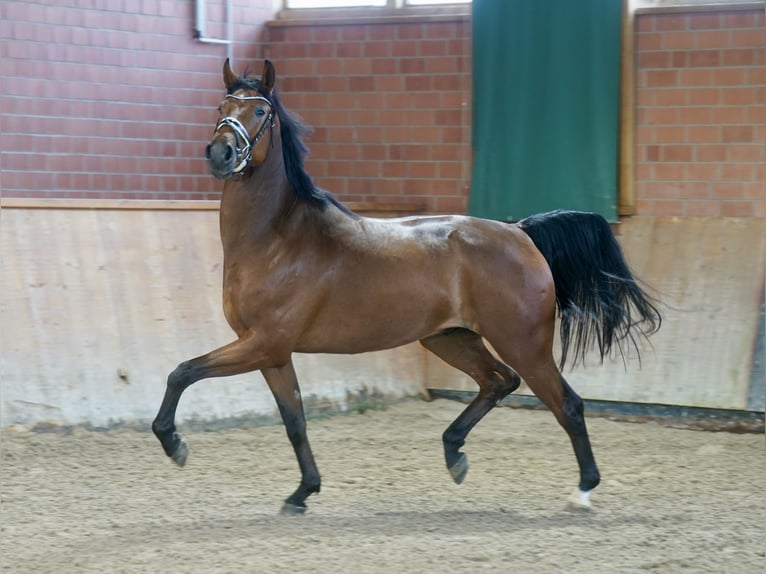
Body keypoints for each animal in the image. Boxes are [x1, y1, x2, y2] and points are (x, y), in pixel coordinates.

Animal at [152, 59, 661, 515]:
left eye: (260, 111)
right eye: (222, 105)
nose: (220, 153)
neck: (278, 239)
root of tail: (520, 232)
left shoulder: (264, 343)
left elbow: (182, 371)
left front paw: (174, 444)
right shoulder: (272, 353)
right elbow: (294, 422)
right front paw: (302, 493)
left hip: (523, 343)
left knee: (566, 404)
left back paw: (583, 490)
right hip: (449, 338)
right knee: (499, 381)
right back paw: (454, 453)